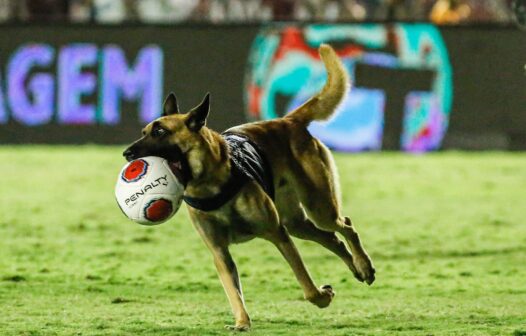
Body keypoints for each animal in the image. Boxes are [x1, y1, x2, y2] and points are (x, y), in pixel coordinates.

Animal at [123, 44, 376, 330]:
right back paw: (357, 267)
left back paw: (364, 265)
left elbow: (306, 285)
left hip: (318, 208)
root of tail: (288, 121)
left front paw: (322, 297)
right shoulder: (220, 252)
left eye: (160, 132)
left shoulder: (277, 233)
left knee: (346, 226)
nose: (127, 154)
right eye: (144, 131)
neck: (209, 185)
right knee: (333, 239)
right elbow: (234, 292)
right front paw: (241, 323)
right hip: (297, 223)